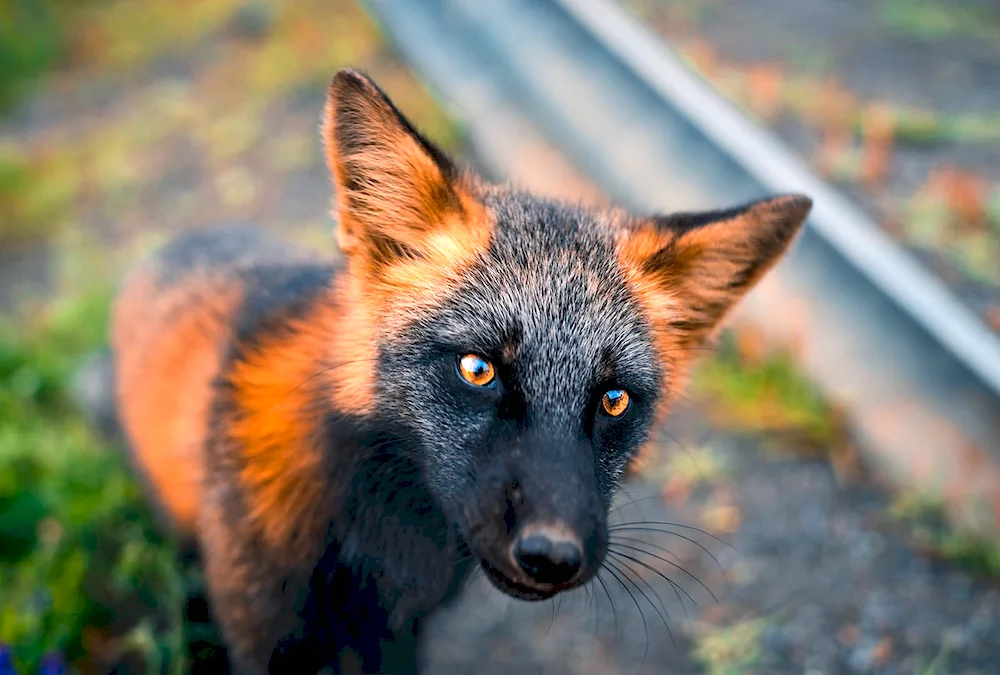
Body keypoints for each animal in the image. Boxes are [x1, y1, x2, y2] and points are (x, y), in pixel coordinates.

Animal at [109, 66, 812, 672]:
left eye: (614, 400)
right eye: (478, 370)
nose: (552, 555)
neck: (382, 544)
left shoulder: (401, 636)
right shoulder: (266, 634)